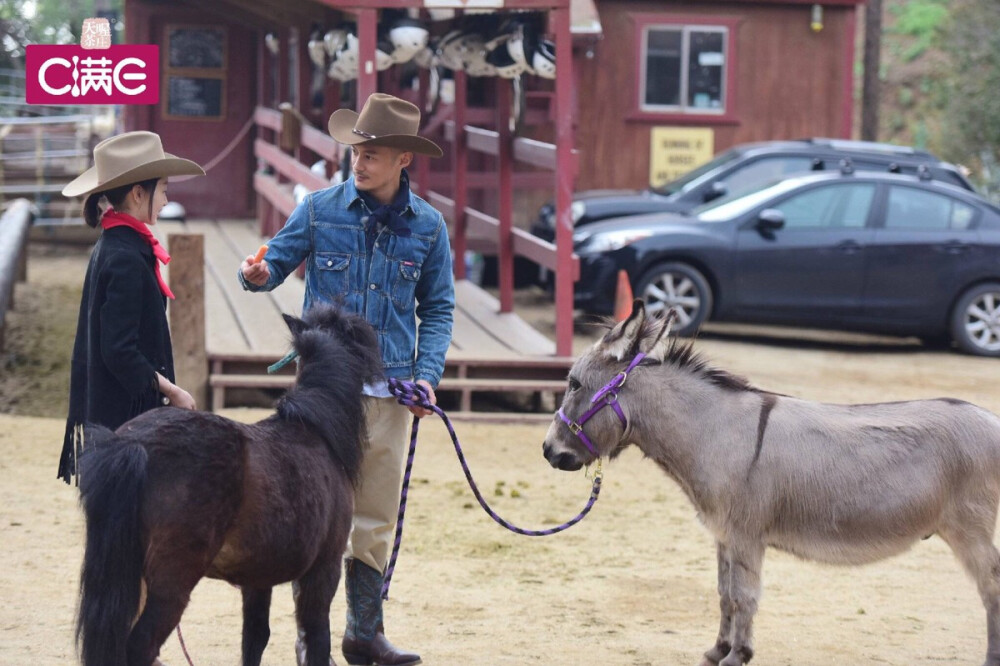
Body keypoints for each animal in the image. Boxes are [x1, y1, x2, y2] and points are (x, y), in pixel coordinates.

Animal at [75, 304, 382, 660]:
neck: (314, 431)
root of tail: (133, 444)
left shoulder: (258, 577)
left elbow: (255, 637)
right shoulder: (324, 569)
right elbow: (317, 637)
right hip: (171, 580)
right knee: (139, 646)